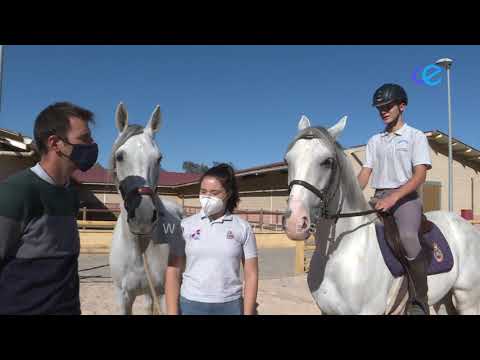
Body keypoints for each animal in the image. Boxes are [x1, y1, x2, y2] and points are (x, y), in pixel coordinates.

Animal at [109, 102, 184, 316]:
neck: (139, 245)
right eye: (120, 156)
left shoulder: (163, 292)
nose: (142, 215)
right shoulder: (123, 296)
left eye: (159, 158)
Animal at [284, 115, 480, 316]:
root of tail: (465, 224)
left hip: (468, 299)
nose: (295, 222)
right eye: (288, 160)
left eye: (327, 161)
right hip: (443, 298)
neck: (340, 253)